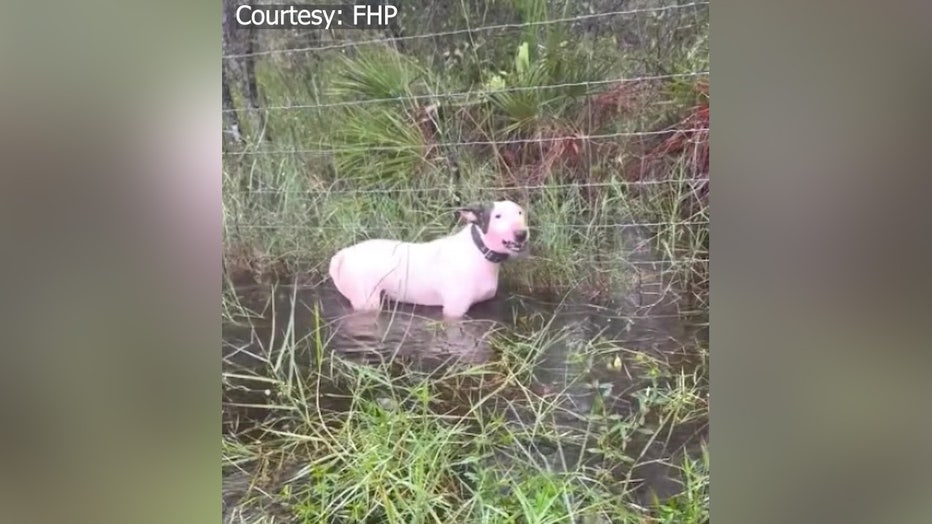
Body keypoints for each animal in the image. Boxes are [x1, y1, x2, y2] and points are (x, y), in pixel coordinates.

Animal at [332, 200, 528, 318]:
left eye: (520, 213)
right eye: (497, 216)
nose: (522, 234)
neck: (479, 251)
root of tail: (343, 254)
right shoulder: (453, 310)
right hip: (366, 301)